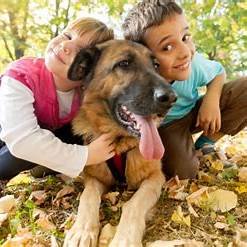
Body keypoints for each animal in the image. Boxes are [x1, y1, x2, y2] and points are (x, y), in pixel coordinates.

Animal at [63, 39, 176, 246]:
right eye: (124, 64)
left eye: (156, 65)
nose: (171, 98)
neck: (118, 142)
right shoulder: (93, 178)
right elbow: (87, 197)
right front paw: (82, 230)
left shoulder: (155, 177)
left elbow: (133, 204)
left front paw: (125, 238)